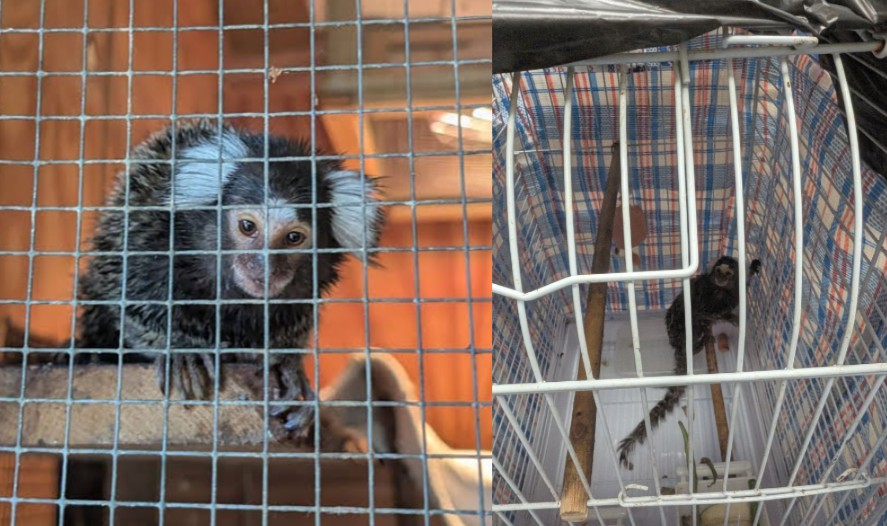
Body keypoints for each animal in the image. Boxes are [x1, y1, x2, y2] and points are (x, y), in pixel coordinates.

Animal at [74, 118, 384, 441]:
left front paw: (288, 366)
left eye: (294, 238)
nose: (265, 267)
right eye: (248, 226)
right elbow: (131, 303)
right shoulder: (146, 235)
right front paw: (182, 351)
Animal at [616, 255, 762, 470]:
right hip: (682, 329)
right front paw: (731, 318)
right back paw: (699, 344)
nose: (721, 278)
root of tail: (679, 347)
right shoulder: (706, 298)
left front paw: (753, 267)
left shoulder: (735, 291)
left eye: (728, 273)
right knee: (690, 318)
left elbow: (744, 284)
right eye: (719, 271)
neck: (721, 291)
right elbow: (702, 312)